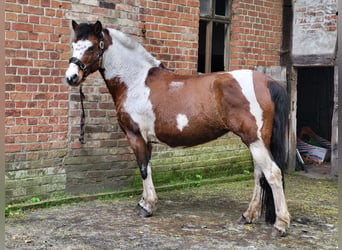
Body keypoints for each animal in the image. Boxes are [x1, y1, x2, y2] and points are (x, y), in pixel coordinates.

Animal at [65, 20, 290, 236]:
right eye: (73, 45)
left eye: (92, 46)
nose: (71, 77)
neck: (135, 81)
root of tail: (267, 82)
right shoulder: (147, 140)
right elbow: (148, 166)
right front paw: (145, 201)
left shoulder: (135, 136)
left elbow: (143, 169)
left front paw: (147, 207)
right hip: (256, 141)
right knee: (259, 175)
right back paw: (248, 216)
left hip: (255, 140)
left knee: (272, 173)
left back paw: (280, 225)